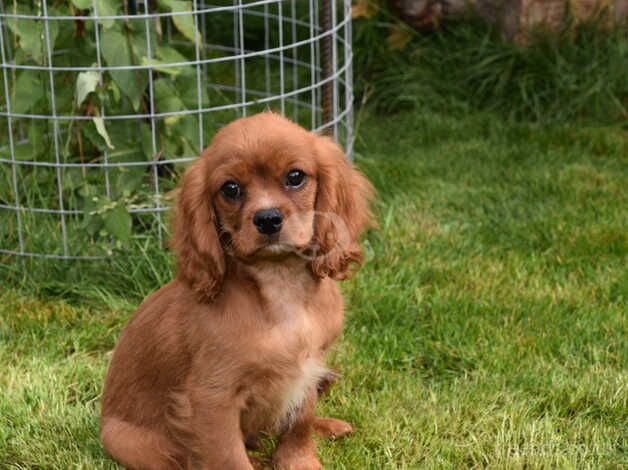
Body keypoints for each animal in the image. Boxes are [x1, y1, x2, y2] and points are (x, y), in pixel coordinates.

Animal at [98, 112, 372, 468]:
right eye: (230, 189)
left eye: (295, 177)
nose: (267, 219)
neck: (280, 284)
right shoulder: (213, 398)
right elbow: (230, 457)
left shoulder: (310, 366)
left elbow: (301, 421)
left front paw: (299, 460)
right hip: (131, 443)